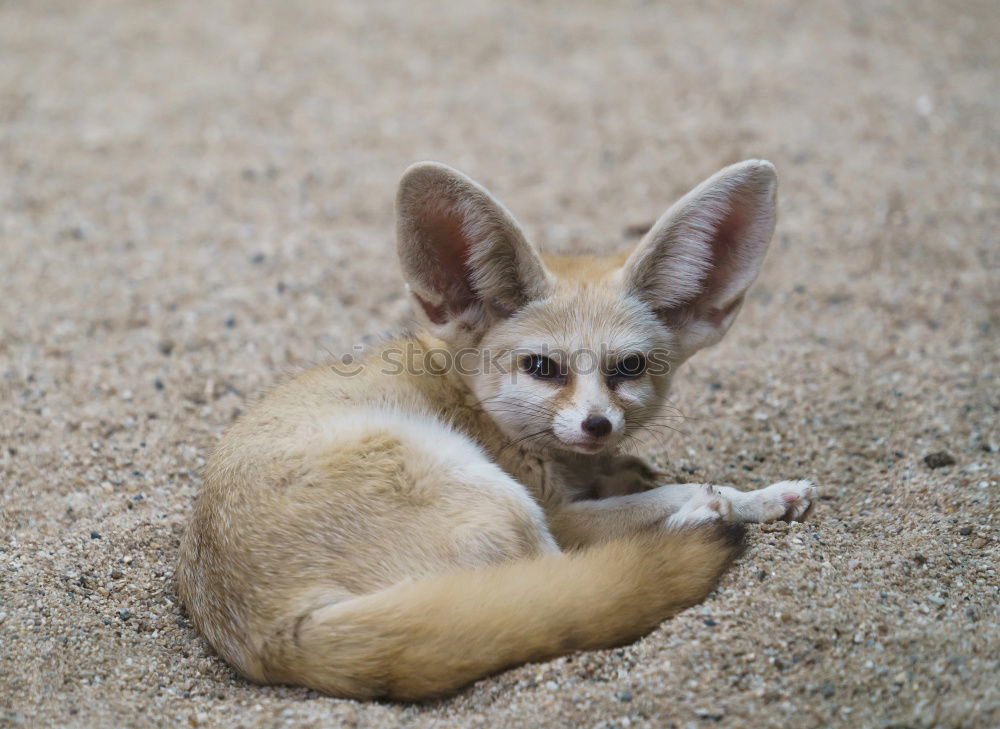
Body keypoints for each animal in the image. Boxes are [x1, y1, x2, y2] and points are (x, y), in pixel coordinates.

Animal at [176, 161, 816, 700]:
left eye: (629, 368)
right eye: (542, 368)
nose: (597, 424)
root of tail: (273, 637)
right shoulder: (557, 509)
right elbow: (667, 496)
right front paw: (747, 497)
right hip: (494, 497)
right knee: (563, 576)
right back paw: (697, 521)